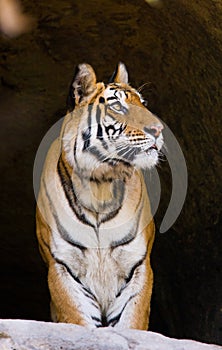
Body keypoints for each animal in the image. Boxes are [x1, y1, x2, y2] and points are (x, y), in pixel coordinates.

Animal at [36, 62, 163, 328]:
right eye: (117, 106)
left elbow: (132, 323)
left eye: (142, 103)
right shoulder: (62, 266)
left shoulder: (138, 264)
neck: (100, 188)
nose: (158, 130)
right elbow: (77, 321)